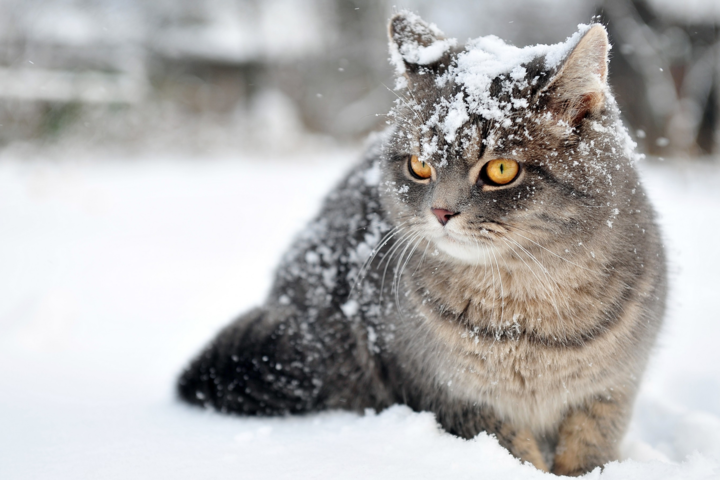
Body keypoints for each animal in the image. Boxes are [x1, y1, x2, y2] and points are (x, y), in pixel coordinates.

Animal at [177, 12, 668, 476]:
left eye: (501, 170)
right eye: (419, 165)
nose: (441, 212)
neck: (525, 316)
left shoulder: (610, 392)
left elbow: (589, 450)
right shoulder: (452, 395)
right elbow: (515, 452)